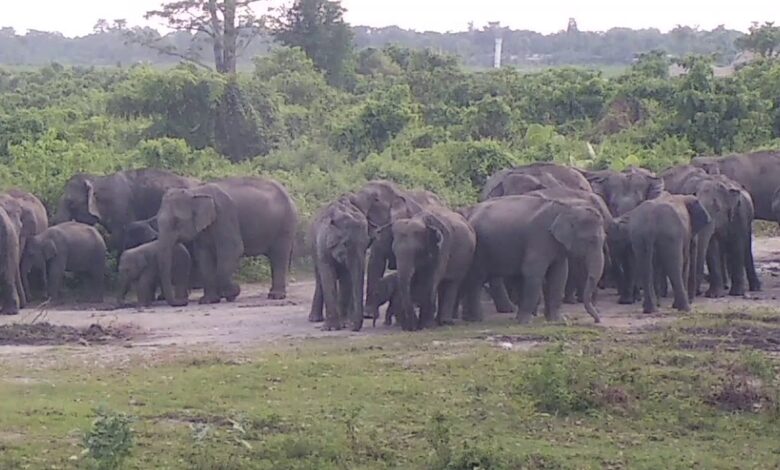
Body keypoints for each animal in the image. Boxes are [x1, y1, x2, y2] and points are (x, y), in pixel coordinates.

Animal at [156, 176, 298, 304]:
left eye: (176, 222)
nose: (182, 301)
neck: (195, 192)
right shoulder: (204, 228)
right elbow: (204, 256)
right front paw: (208, 300)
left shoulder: (225, 214)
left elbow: (233, 249)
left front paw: (231, 293)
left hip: (286, 224)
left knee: (279, 256)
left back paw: (276, 296)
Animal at [388, 202, 476, 330]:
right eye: (393, 251)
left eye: (418, 251)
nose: (411, 328)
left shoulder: (443, 247)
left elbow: (430, 281)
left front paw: (426, 325)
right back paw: (438, 321)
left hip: (464, 259)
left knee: (451, 283)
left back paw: (444, 322)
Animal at [460, 195, 608, 324]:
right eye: (591, 240)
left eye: (604, 238)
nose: (597, 320)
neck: (566, 208)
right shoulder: (538, 238)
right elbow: (533, 273)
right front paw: (525, 322)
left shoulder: (557, 246)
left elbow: (559, 275)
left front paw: (557, 320)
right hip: (478, 251)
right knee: (476, 280)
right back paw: (477, 319)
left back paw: (469, 318)